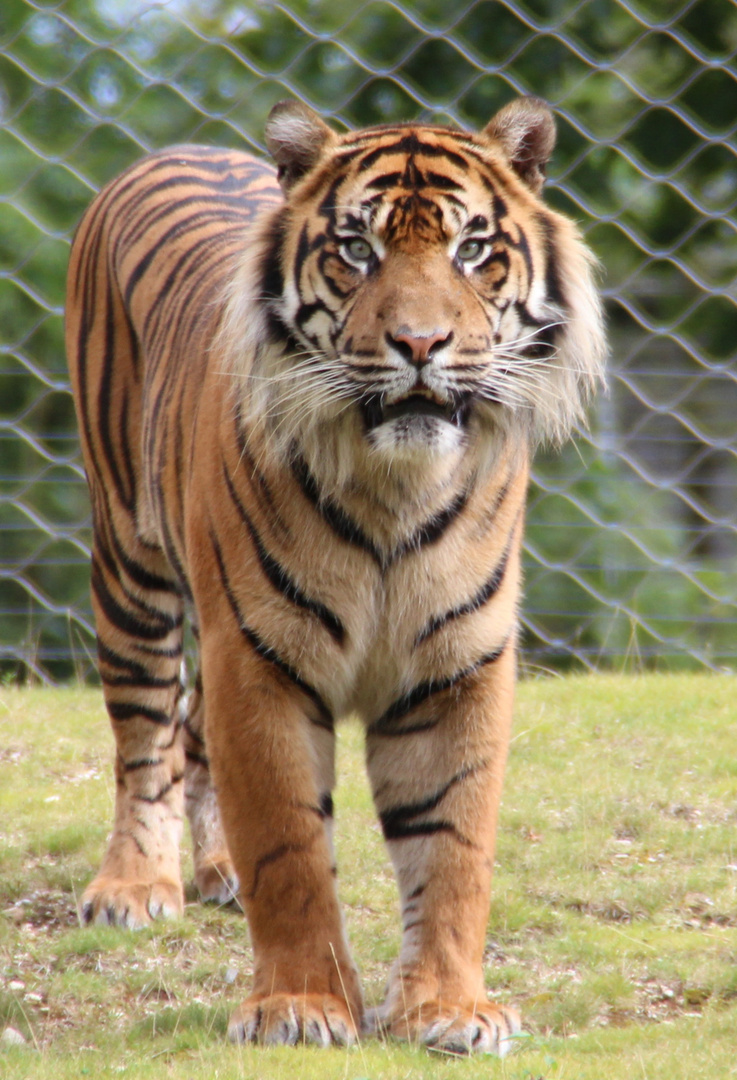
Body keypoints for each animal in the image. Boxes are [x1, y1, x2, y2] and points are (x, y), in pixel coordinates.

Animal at [64, 95, 600, 1054]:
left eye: (472, 249)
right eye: (357, 249)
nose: (420, 342)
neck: (395, 487)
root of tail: (176, 148)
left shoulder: (457, 663)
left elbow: (453, 847)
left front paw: (449, 1009)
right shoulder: (258, 658)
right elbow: (289, 848)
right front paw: (300, 1005)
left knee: (191, 736)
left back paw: (214, 871)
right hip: (130, 561)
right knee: (145, 735)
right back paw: (134, 885)